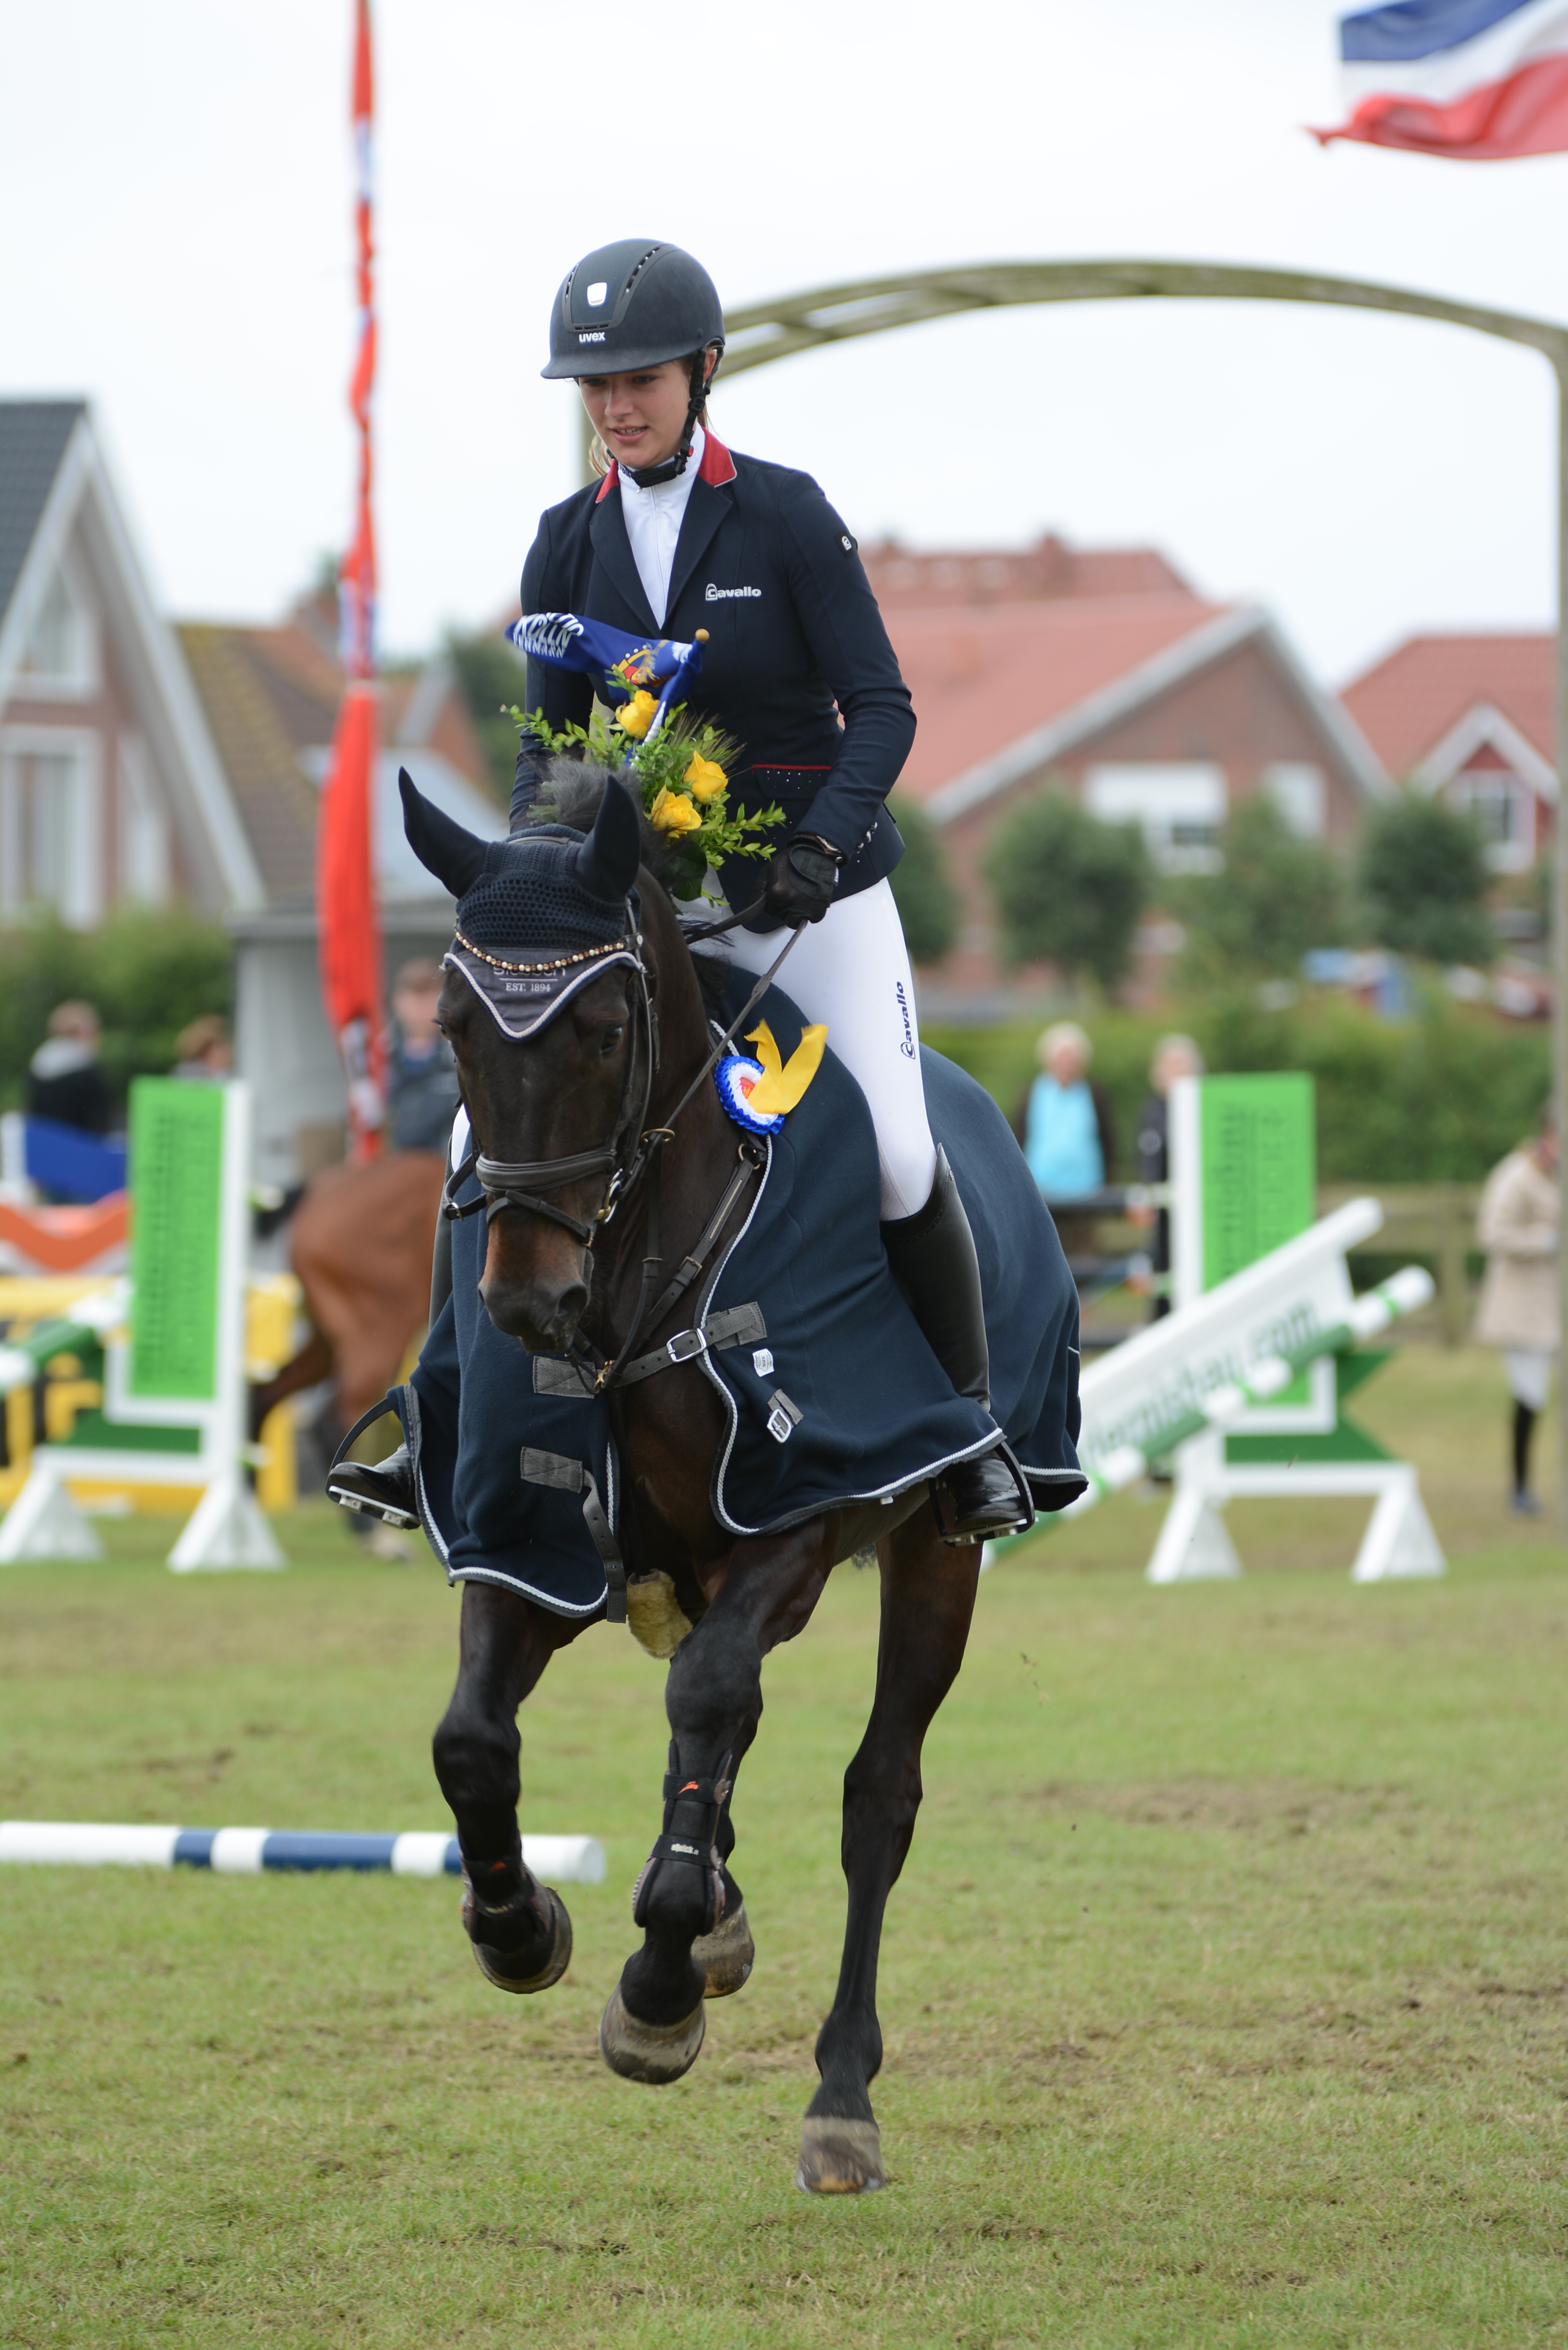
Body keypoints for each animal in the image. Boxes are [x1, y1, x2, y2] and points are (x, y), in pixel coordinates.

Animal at [411, 770, 987, 2199]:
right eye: (452, 1028)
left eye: (608, 1028)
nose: (528, 1304)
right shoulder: (522, 1536)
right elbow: (471, 1740)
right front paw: (518, 1924)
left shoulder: (802, 1516)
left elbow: (718, 1702)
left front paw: (659, 1987)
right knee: (723, 1720)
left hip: (934, 1553)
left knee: (873, 1791)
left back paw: (839, 2097)